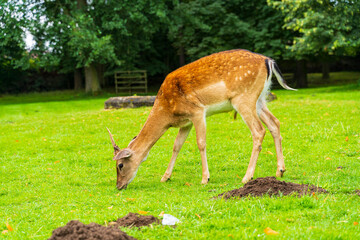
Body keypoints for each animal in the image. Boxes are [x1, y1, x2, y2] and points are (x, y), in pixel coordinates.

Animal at [106, 49, 296, 190]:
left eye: (120, 165)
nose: (118, 186)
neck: (168, 111)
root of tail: (268, 61)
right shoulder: (186, 122)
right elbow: (176, 146)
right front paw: (165, 177)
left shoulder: (197, 111)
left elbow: (201, 143)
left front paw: (205, 178)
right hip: (260, 99)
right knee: (275, 123)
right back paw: (280, 170)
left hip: (244, 97)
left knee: (259, 130)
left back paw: (247, 177)